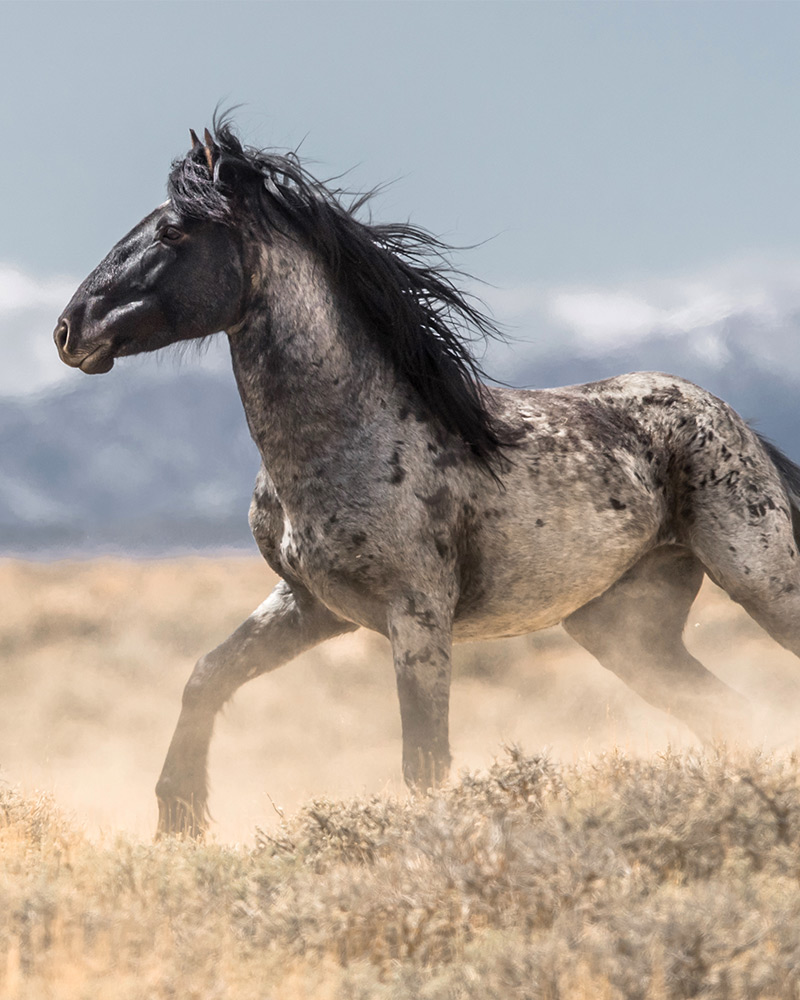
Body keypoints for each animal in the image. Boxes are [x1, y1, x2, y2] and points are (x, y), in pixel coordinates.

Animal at [54, 122, 800, 838]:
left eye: (173, 231)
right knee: (727, 712)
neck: (349, 432)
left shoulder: (415, 616)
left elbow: (424, 761)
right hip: (625, 632)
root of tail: (729, 417)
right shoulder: (311, 606)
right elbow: (205, 676)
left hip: (761, 583)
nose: (68, 330)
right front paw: (178, 817)